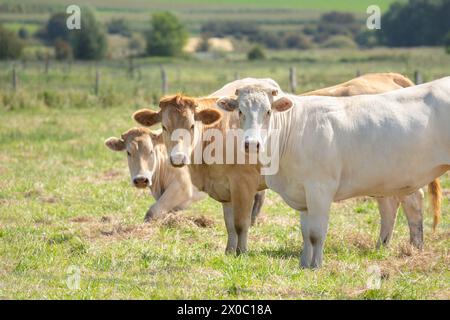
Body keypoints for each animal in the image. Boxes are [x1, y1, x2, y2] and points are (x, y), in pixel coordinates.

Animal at [216, 77, 448, 268]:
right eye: (240, 111)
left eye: (268, 111)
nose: (251, 144)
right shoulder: (303, 193)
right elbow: (305, 232)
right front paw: (304, 263)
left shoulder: (320, 189)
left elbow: (316, 233)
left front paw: (316, 265)